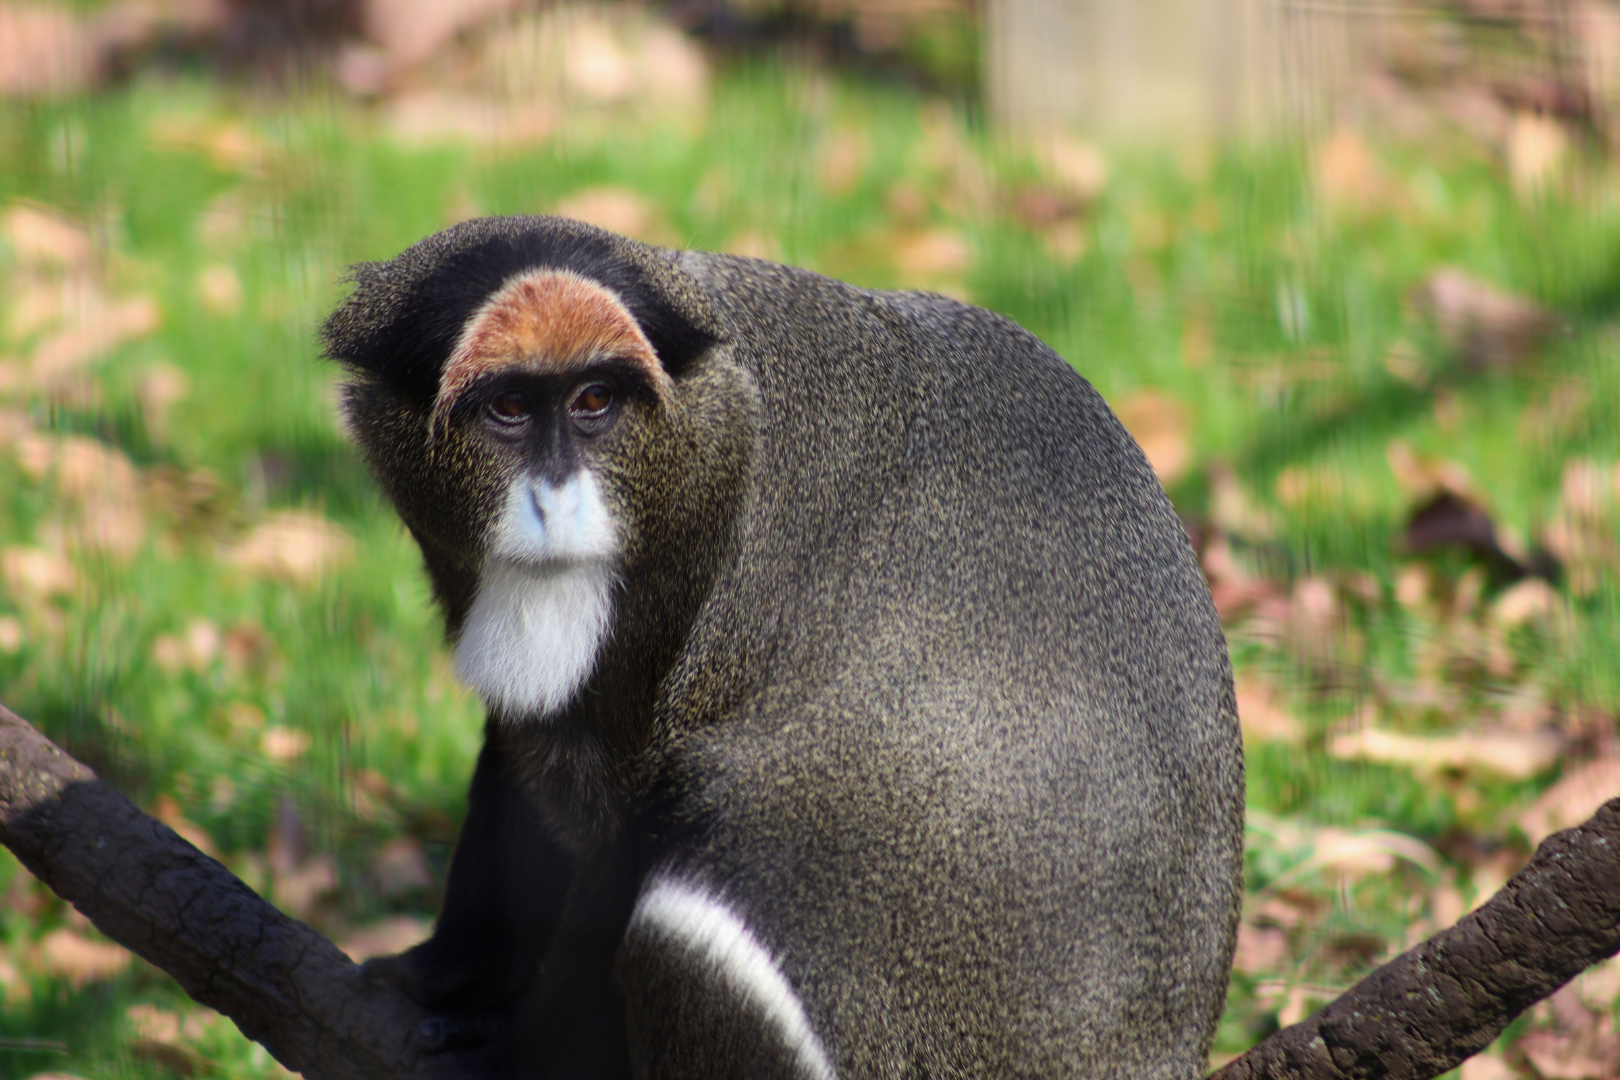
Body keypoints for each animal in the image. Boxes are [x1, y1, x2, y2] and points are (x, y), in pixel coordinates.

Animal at [322, 216, 1244, 1080]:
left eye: (594, 401)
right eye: (509, 408)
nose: (555, 498)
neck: (716, 426)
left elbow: (624, 851)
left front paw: (507, 1054)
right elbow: (523, 765)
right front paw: (443, 971)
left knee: (691, 941)